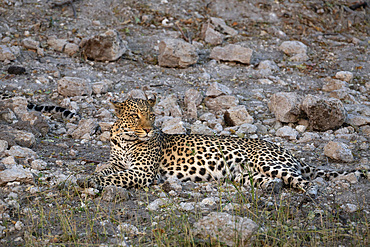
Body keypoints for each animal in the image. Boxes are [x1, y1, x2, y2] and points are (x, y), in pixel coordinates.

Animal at [77, 97, 368, 196]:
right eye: (136, 115)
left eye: (151, 115)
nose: (148, 129)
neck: (126, 139)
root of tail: (287, 151)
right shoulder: (119, 163)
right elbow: (107, 169)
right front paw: (85, 177)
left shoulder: (142, 173)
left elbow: (113, 177)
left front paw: (89, 181)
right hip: (243, 174)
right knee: (272, 181)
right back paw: (271, 188)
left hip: (268, 162)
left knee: (304, 181)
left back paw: (311, 195)